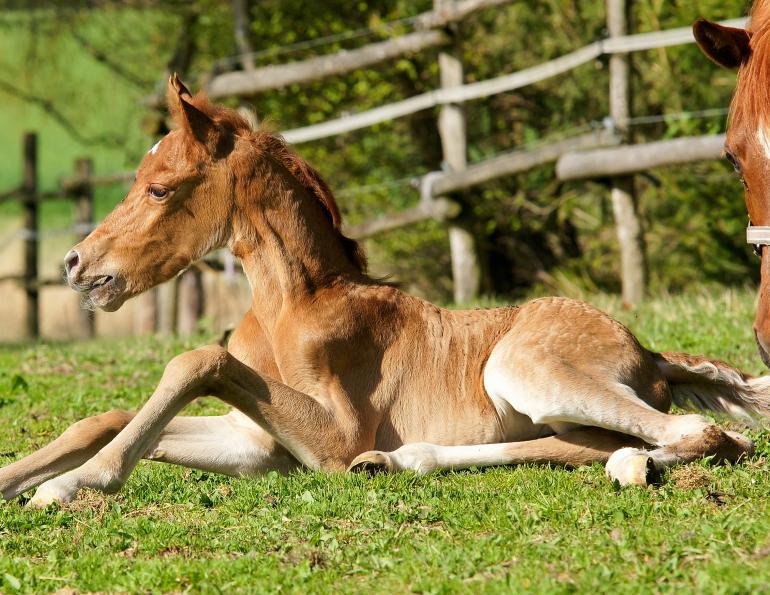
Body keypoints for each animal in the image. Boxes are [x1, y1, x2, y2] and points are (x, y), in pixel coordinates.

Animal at [1, 75, 768, 508]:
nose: (75, 262)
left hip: (520, 368)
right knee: (579, 444)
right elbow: (104, 416)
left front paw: (71, 484)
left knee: (699, 432)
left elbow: (197, 360)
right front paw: (17, 476)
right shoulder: (257, 445)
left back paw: (637, 466)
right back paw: (401, 461)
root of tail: (652, 352)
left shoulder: (333, 437)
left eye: (160, 188)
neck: (293, 310)